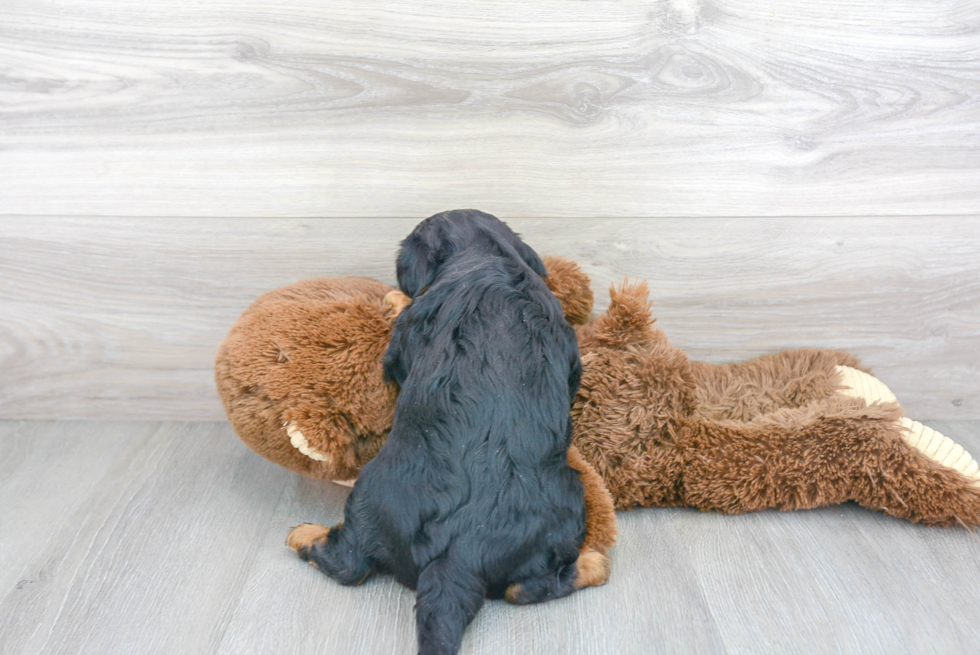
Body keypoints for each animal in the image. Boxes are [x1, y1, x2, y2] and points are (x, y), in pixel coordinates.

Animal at [290, 210, 596, 655]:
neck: (487, 254)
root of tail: (460, 552)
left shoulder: (401, 345)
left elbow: (401, 330)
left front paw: (395, 297)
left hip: (370, 499)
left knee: (349, 562)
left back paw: (301, 534)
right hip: (561, 509)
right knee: (523, 588)